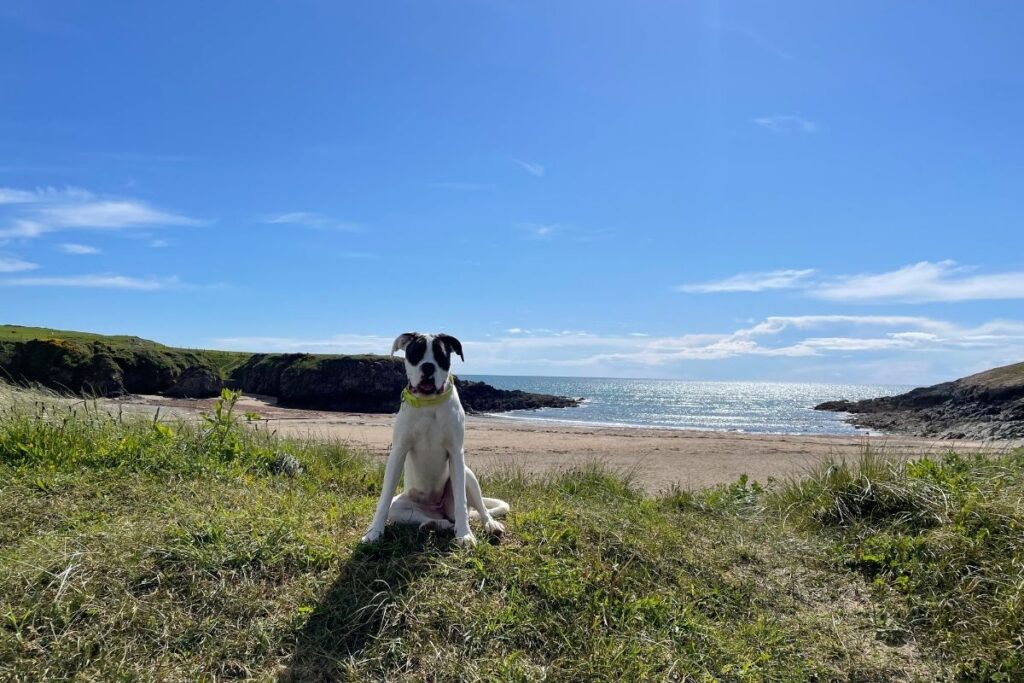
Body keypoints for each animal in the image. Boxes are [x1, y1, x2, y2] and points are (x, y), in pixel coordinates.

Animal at [362, 333, 509, 548]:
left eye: (441, 356)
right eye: (416, 353)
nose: (428, 366)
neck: (428, 403)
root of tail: (437, 509)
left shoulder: (456, 453)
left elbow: (462, 505)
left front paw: (465, 535)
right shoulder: (398, 452)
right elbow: (384, 499)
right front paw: (374, 532)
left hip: (468, 476)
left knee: (477, 509)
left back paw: (490, 525)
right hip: (401, 507)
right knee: (429, 518)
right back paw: (433, 525)